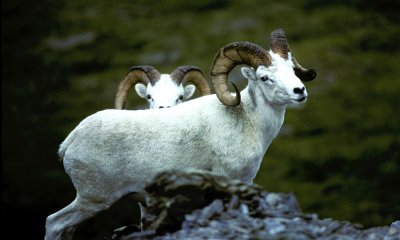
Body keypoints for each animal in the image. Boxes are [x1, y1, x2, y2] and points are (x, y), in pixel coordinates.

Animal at [45, 28, 316, 240]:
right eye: (265, 77)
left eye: (291, 69)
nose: (299, 91)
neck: (247, 120)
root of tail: (71, 140)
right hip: (93, 199)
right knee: (53, 223)